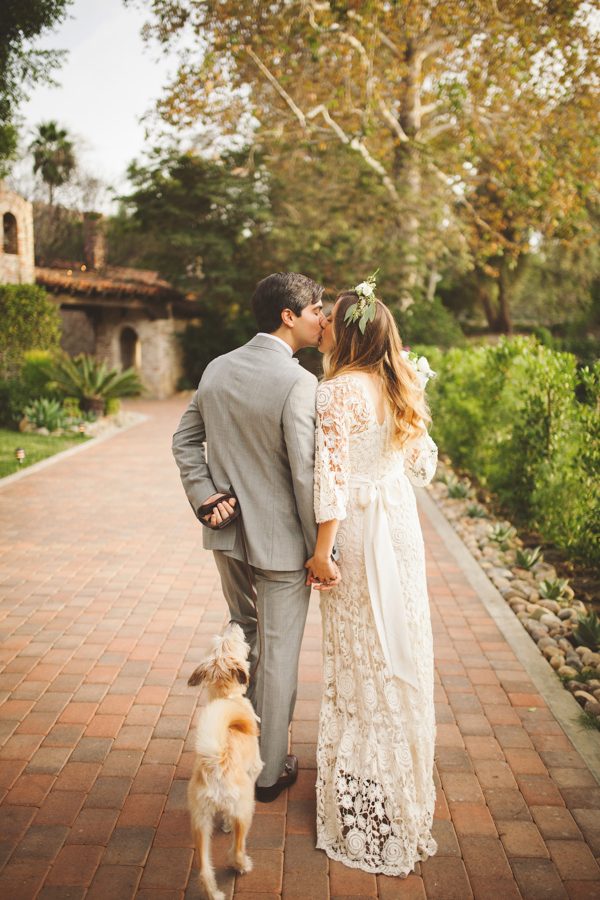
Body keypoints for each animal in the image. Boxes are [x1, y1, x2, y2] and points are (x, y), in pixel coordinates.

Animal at [188, 624, 262, 896]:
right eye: (234, 641)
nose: (233, 623)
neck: (225, 697)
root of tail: (215, 762)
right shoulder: (255, 768)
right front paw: (227, 826)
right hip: (243, 807)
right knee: (237, 849)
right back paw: (243, 865)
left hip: (200, 822)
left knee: (204, 870)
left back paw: (215, 893)